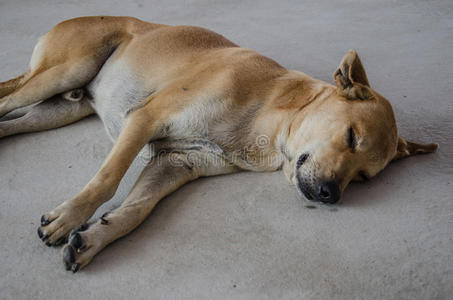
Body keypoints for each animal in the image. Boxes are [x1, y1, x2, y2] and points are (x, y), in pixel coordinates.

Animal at [0, 16, 438, 272]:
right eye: (351, 136)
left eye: (364, 177)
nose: (331, 194)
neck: (272, 116)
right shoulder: (146, 118)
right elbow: (107, 180)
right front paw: (70, 216)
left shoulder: (175, 164)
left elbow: (136, 210)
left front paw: (94, 239)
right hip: (63, 72)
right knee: (7, 101)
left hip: (61, 107)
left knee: (11, 121)